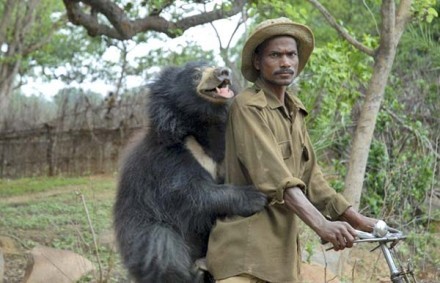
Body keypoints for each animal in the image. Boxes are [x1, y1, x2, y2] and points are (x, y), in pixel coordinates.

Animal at [113, 62, 266, 283]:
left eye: (214, 64)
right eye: (195, 75)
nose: (224, 72)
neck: (205, 125)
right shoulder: (168, 157)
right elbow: (190, 192)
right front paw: (254, 197)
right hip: (141, 229)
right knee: (162, 249)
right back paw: (192, 274)